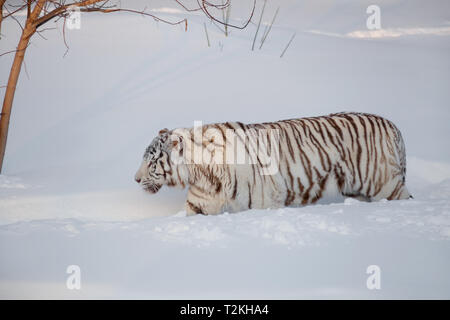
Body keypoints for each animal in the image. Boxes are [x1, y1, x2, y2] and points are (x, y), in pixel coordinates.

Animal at [134, 112, 412, 215]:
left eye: (152, 161)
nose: (135, 180)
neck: (203, 173)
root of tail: (394, 126)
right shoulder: (200, 201)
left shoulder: (264, 199)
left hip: (385, 185)